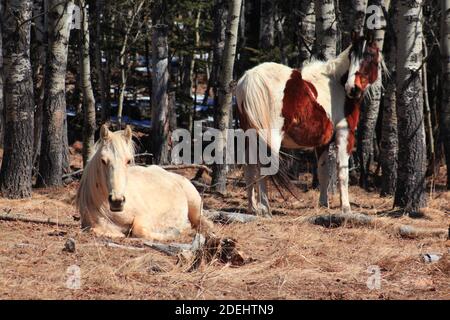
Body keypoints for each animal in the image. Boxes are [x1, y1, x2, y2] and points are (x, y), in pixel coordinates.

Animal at [76, 125, 213, 240]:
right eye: (103, 160)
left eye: (128, 161)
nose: (117, 201)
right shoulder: (93, 226)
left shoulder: (145, 217)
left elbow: (139, 230)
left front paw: (173, 232)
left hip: (195, 206)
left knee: (201, 223)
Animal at [236, 33, 384, 218]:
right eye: (352, 56)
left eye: (370, 55)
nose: (353, 88)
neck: (337, 84)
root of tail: (250, 77)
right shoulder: (345, 135)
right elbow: (342, 172)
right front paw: (346, 208)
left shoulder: (323, 142)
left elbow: (323, 172)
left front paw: (323, 204)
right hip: (270, 137)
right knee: (263, 167)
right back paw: (265, 209)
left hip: (249, 137)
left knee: (249, 168)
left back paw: (253, 208)